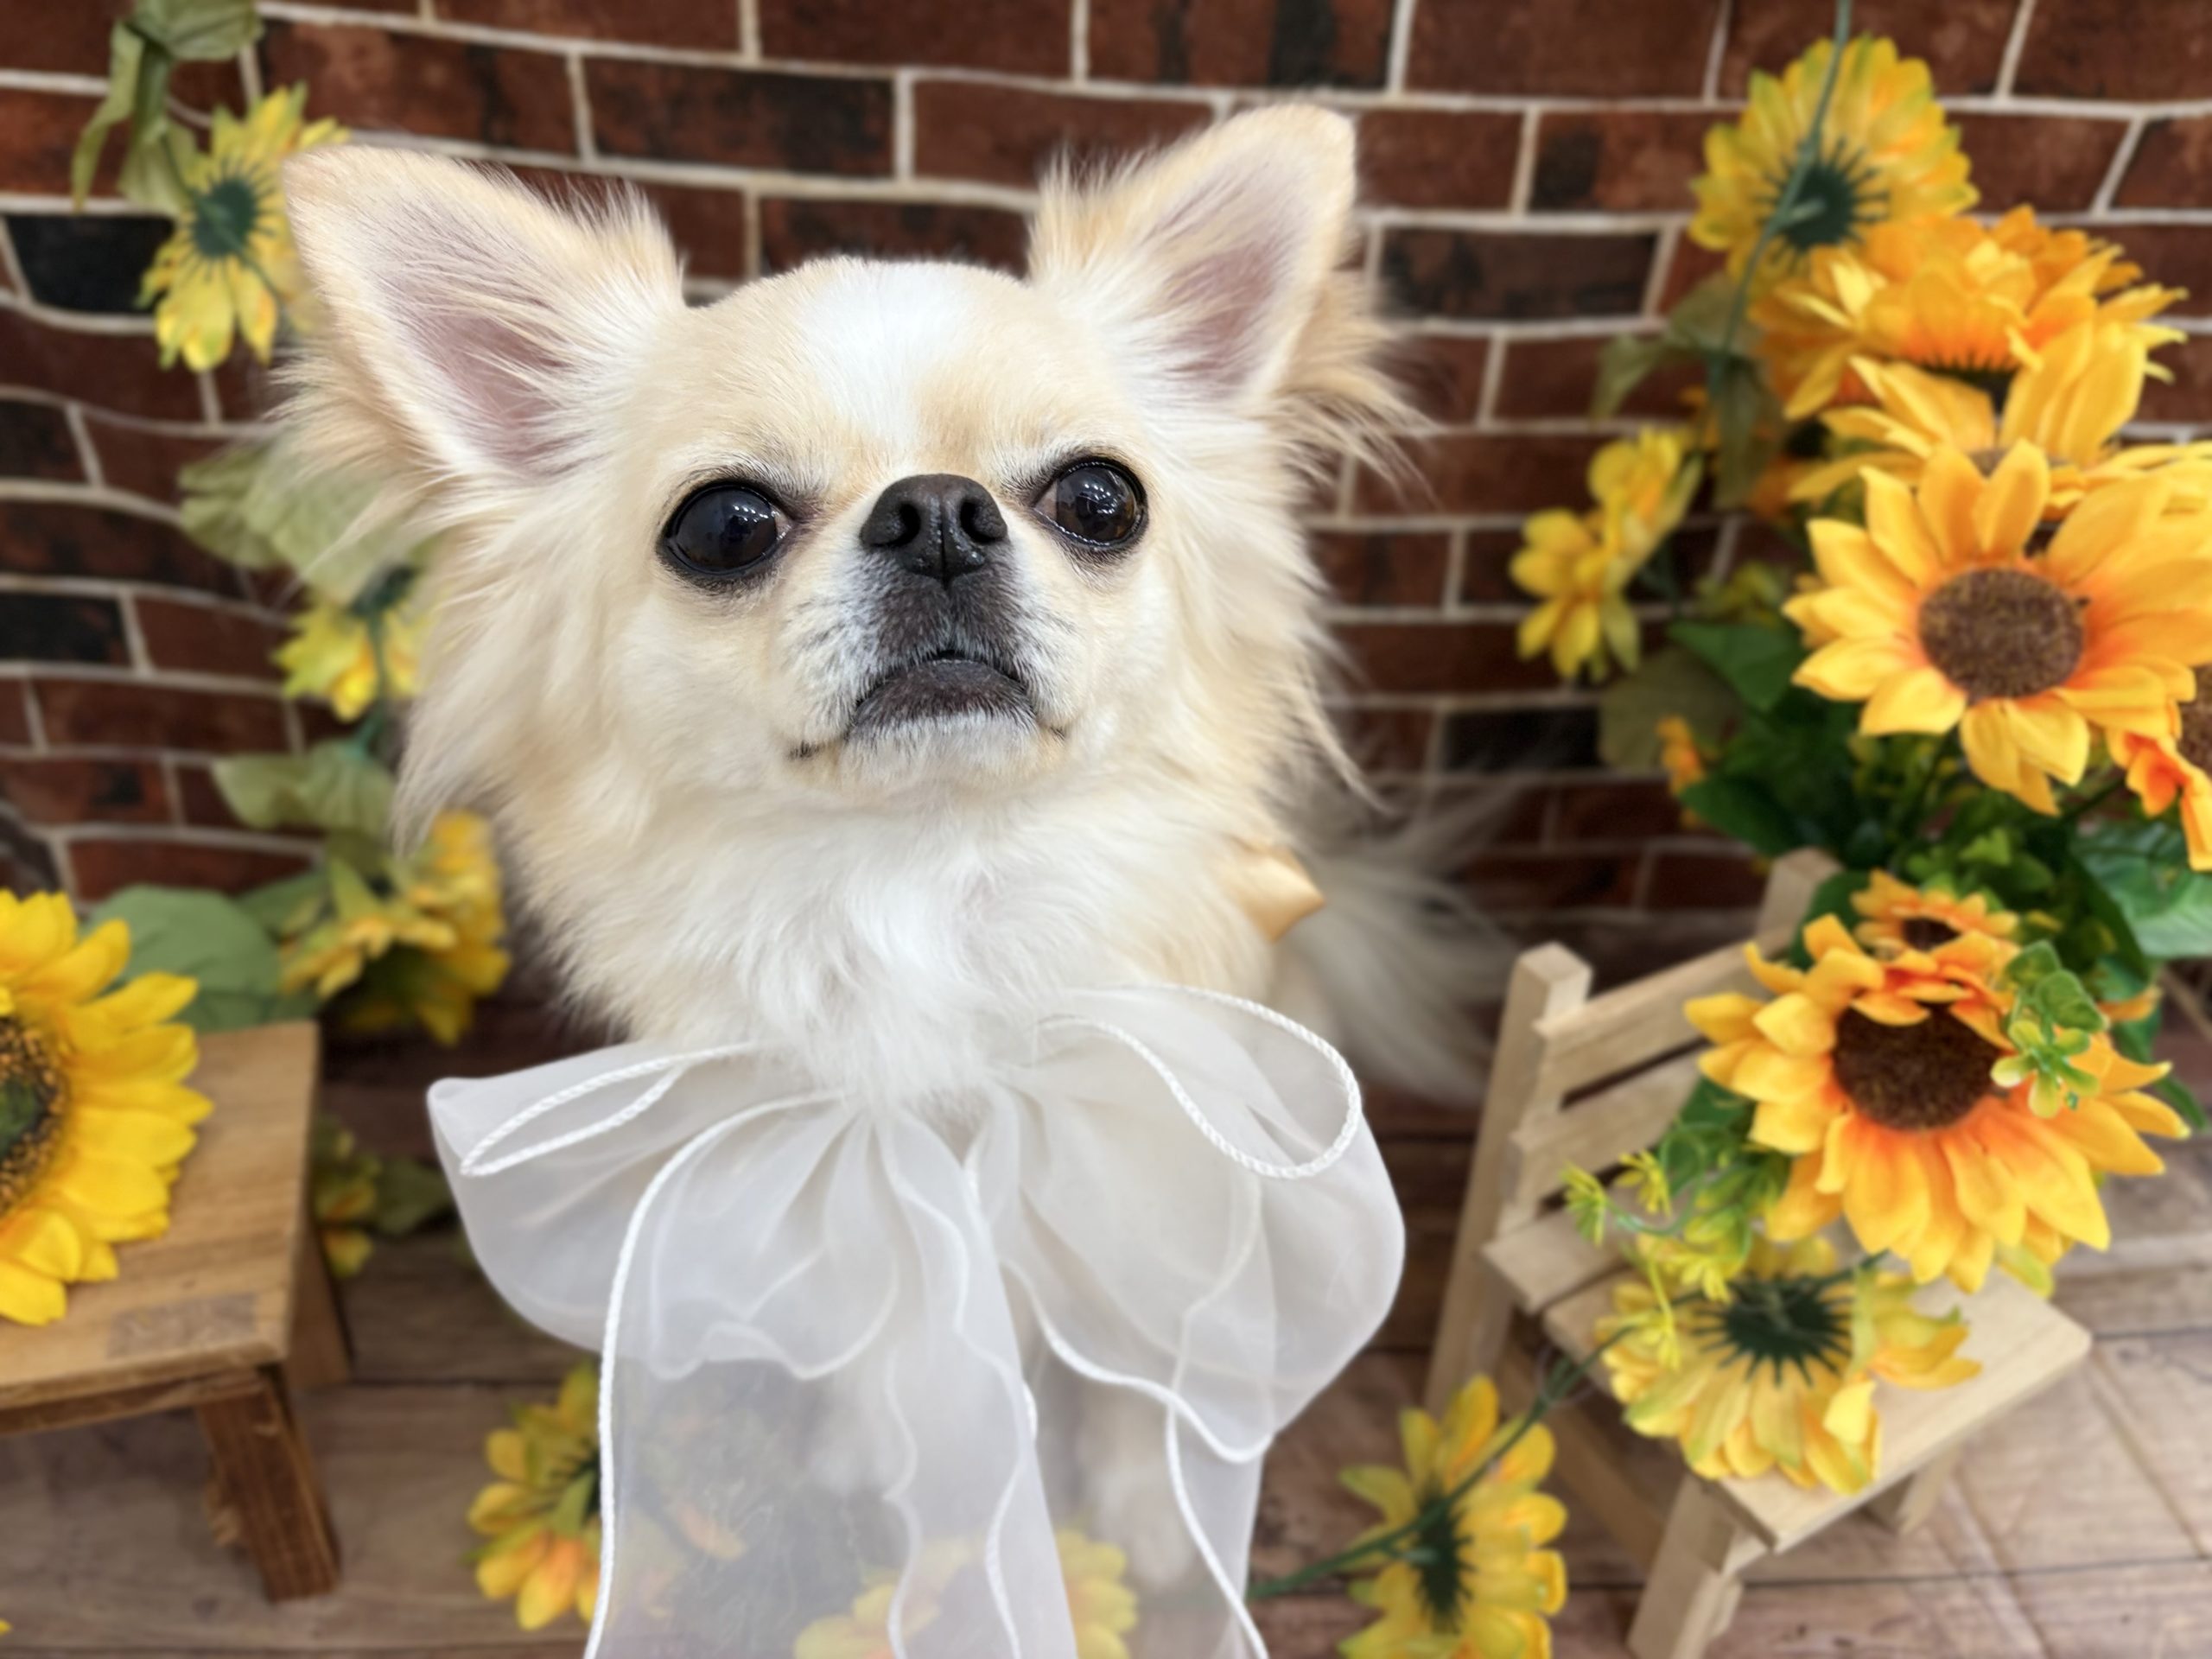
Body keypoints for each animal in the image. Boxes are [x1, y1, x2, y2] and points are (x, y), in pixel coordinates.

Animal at [283, 106, 1491, 1598]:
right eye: (725, 524)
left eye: (1102, 500)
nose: (938, 511)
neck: (932, 891)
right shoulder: (852, 1202)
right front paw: (904, 1468)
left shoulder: (1161, 1173)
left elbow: (1141, 1364)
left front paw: (1146, 1514)